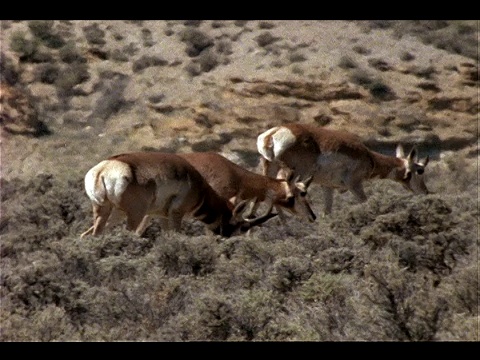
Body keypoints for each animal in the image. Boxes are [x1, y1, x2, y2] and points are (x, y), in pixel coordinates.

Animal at [79, 151, 278, 238]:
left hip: (109, 212)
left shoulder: (161, 216)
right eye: (241, 226)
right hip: (134, 215)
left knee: (91, 234)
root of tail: (105, 168)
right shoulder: (176, 215)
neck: (199, 188)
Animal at [258, 122, 432, 215]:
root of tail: (274, 133)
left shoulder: (327, 187)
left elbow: (327, 212)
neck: (368, 156)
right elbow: (364, 202)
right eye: (420, 170)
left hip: (269, 168)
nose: (426, 192)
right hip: (294, 173)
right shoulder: (354, 184)